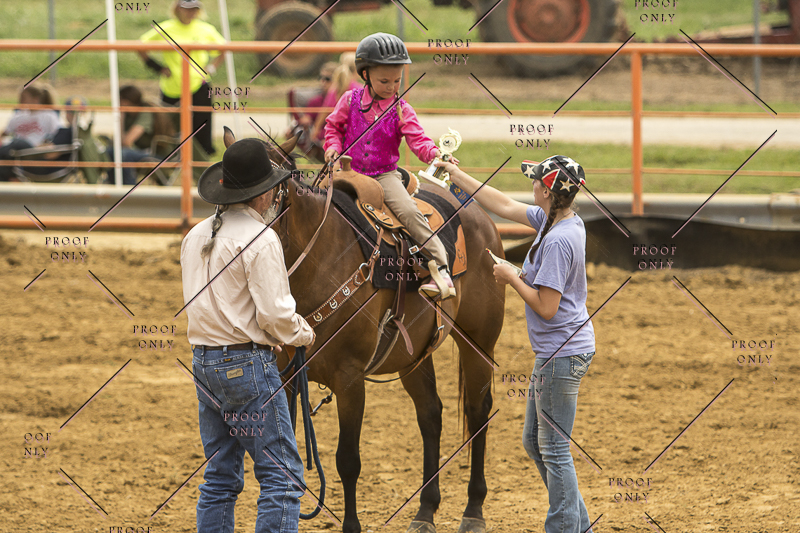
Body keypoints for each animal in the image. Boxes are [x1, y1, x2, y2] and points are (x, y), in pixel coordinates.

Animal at [223, 130, 505, 533]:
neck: (320, 262)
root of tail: (479, 216)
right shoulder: (284, 375)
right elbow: (284, 457)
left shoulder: (350, 379)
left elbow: (348, 460)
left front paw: (351, 524)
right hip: (412, 356)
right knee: (430, 414)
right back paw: (425, 511)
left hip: (479, 342)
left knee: (477, 412)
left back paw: (473, 510)